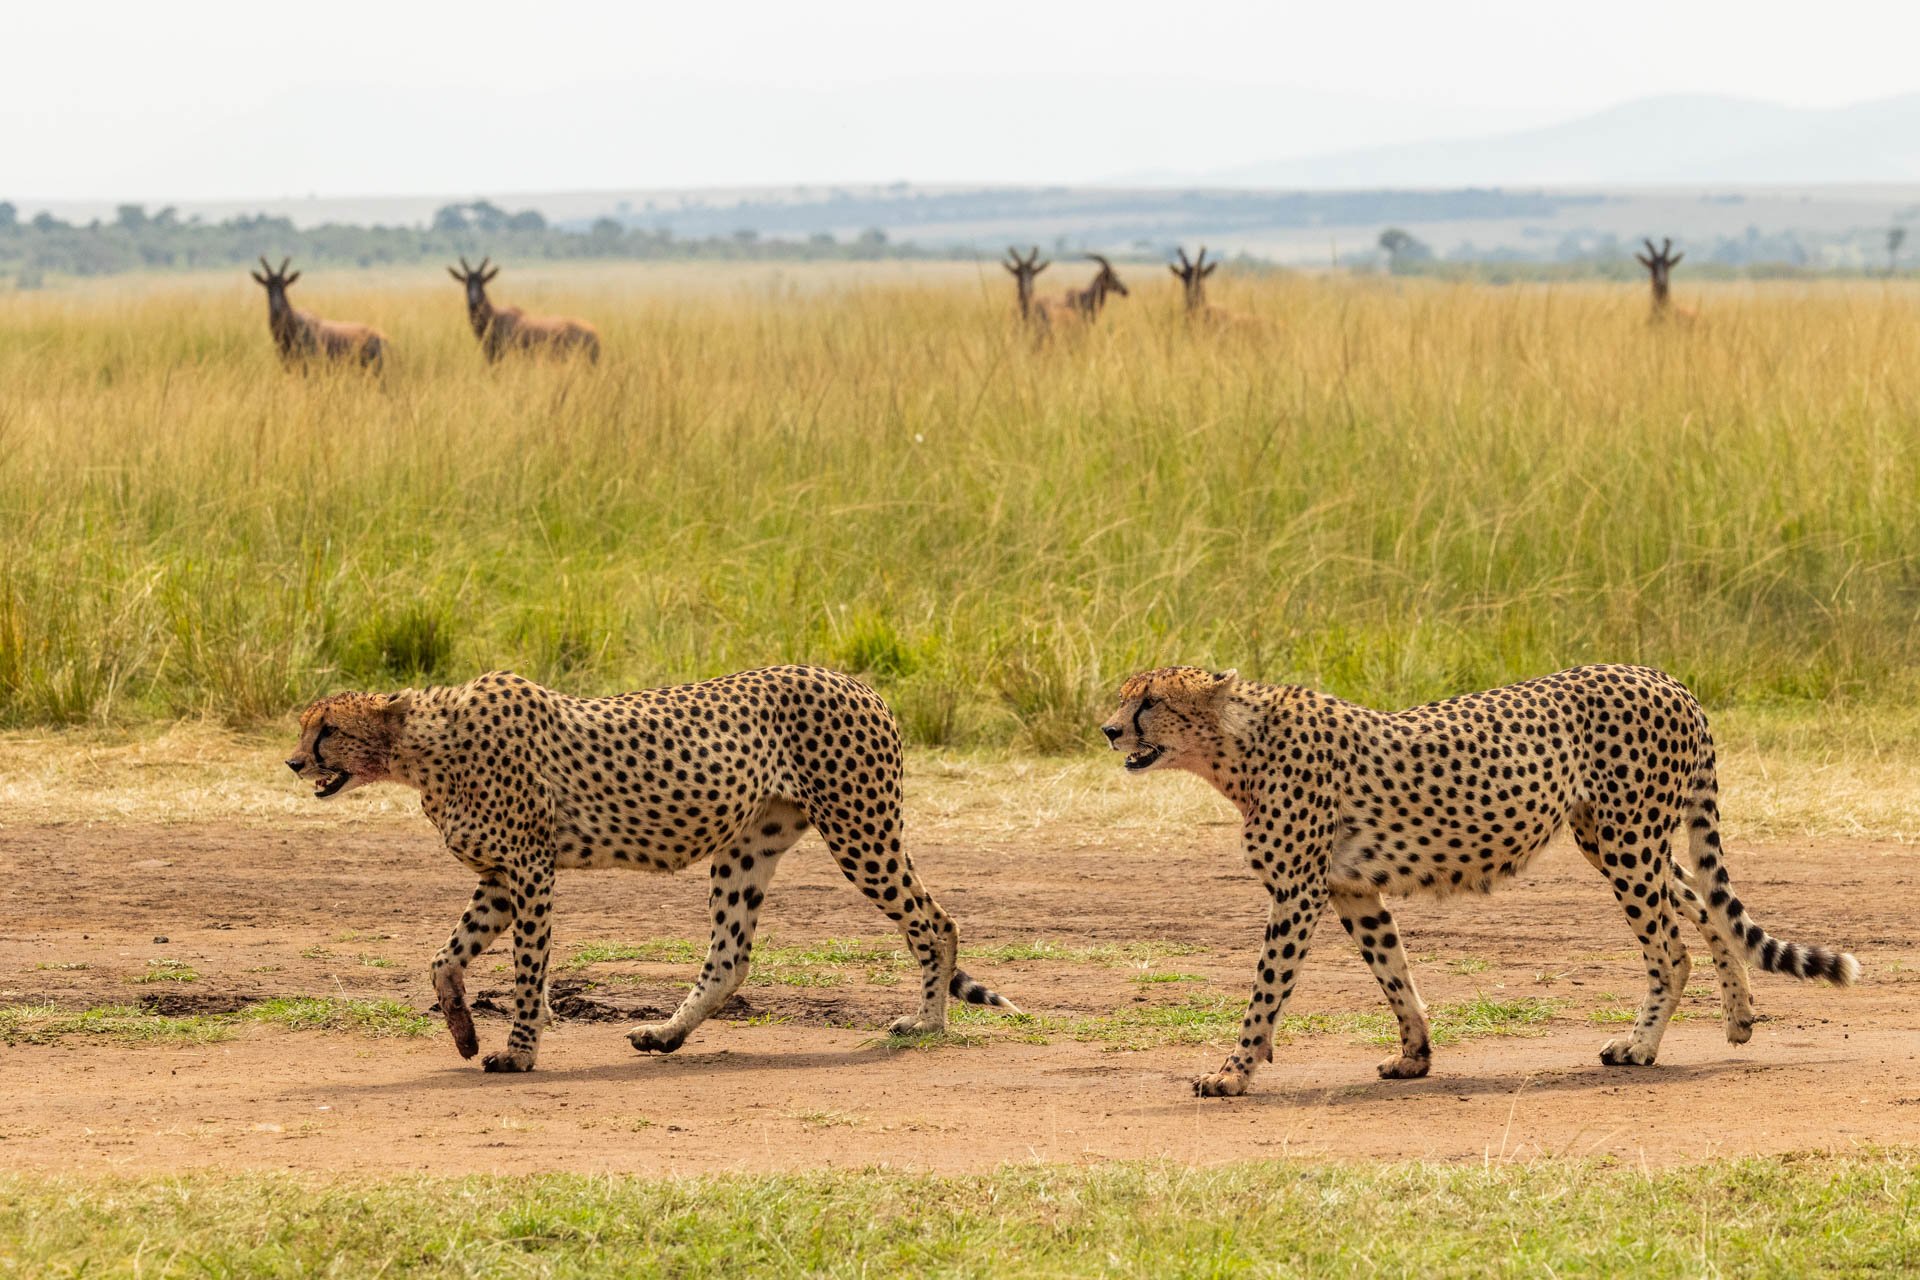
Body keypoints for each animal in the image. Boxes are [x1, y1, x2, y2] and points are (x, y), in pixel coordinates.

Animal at [284, 667, 1021, 1074]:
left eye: (327, 729)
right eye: (305, 726)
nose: (292, 762)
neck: (420, 747)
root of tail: (858, 682)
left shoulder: (531, 869)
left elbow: (528, 971)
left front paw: (519, 1052)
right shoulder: (499, 877)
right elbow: (444, 958)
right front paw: (464, 1033)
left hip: (860, 830)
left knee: (935, 922)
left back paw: (927, 1024)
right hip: (747, 849)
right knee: (729, 957)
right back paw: (666, 1034)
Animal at [1105, 667, 1850, 1097]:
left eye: (1150, 701)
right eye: (1123, 697)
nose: (1109, 730)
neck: (1237, 746)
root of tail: (1664, 675)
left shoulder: (1298, 892)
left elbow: (1265, 992)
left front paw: (1232, 1072)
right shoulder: (1352, 890)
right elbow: (1394, 974)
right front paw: (1415, 1057)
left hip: (1628, 841)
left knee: (1671, 947)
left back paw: (1639, 1046)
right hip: (1613, 840)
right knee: (1704, 905)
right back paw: (1740, 1016)